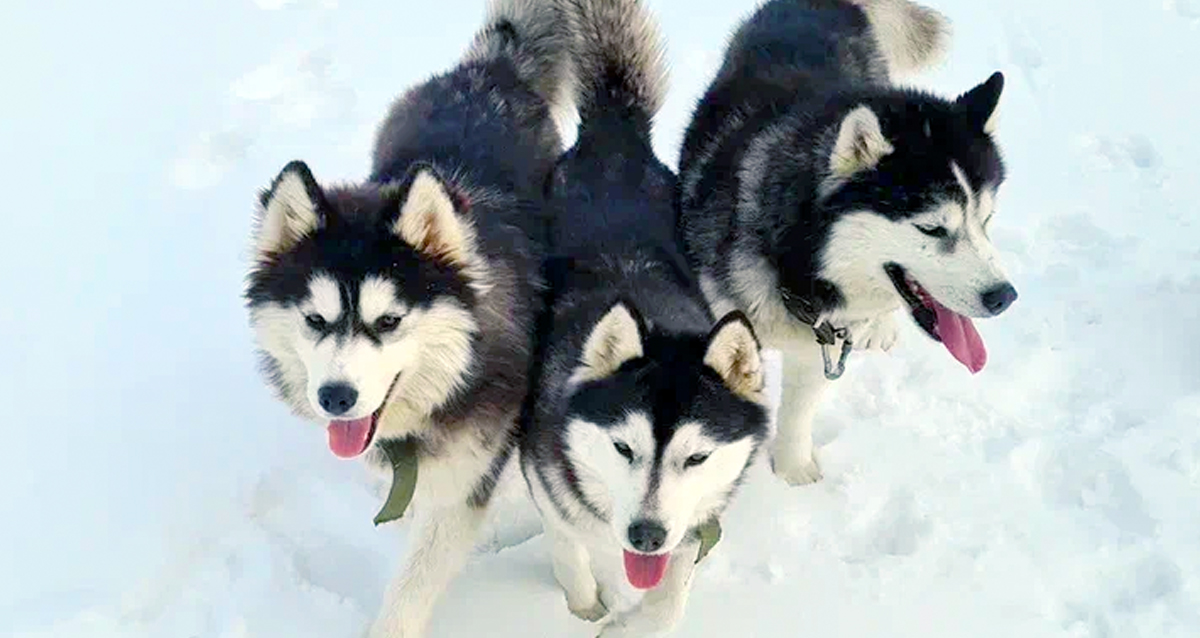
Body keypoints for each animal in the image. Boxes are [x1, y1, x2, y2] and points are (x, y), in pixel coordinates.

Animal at [243, 2, 571, 633]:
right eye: (315, 320)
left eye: (389, 321)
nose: (336, 398)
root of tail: (488, 69)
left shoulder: (464, 482)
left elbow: (412, 587)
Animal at [523, 1, 768, 633]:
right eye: (623, 449)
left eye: (697, 457)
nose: (646, 535)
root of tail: (614, 131)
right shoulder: (547, 484)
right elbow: (572, 556)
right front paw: (587, 609)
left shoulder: (691, 531)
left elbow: (668, 599)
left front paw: (633, 619)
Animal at [681, 0, 1017, 484]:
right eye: (932, 228)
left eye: (986, 220)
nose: (1003, 296)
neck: (796, 267)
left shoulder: (823, 343)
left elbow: (799, 410)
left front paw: (792, 472)